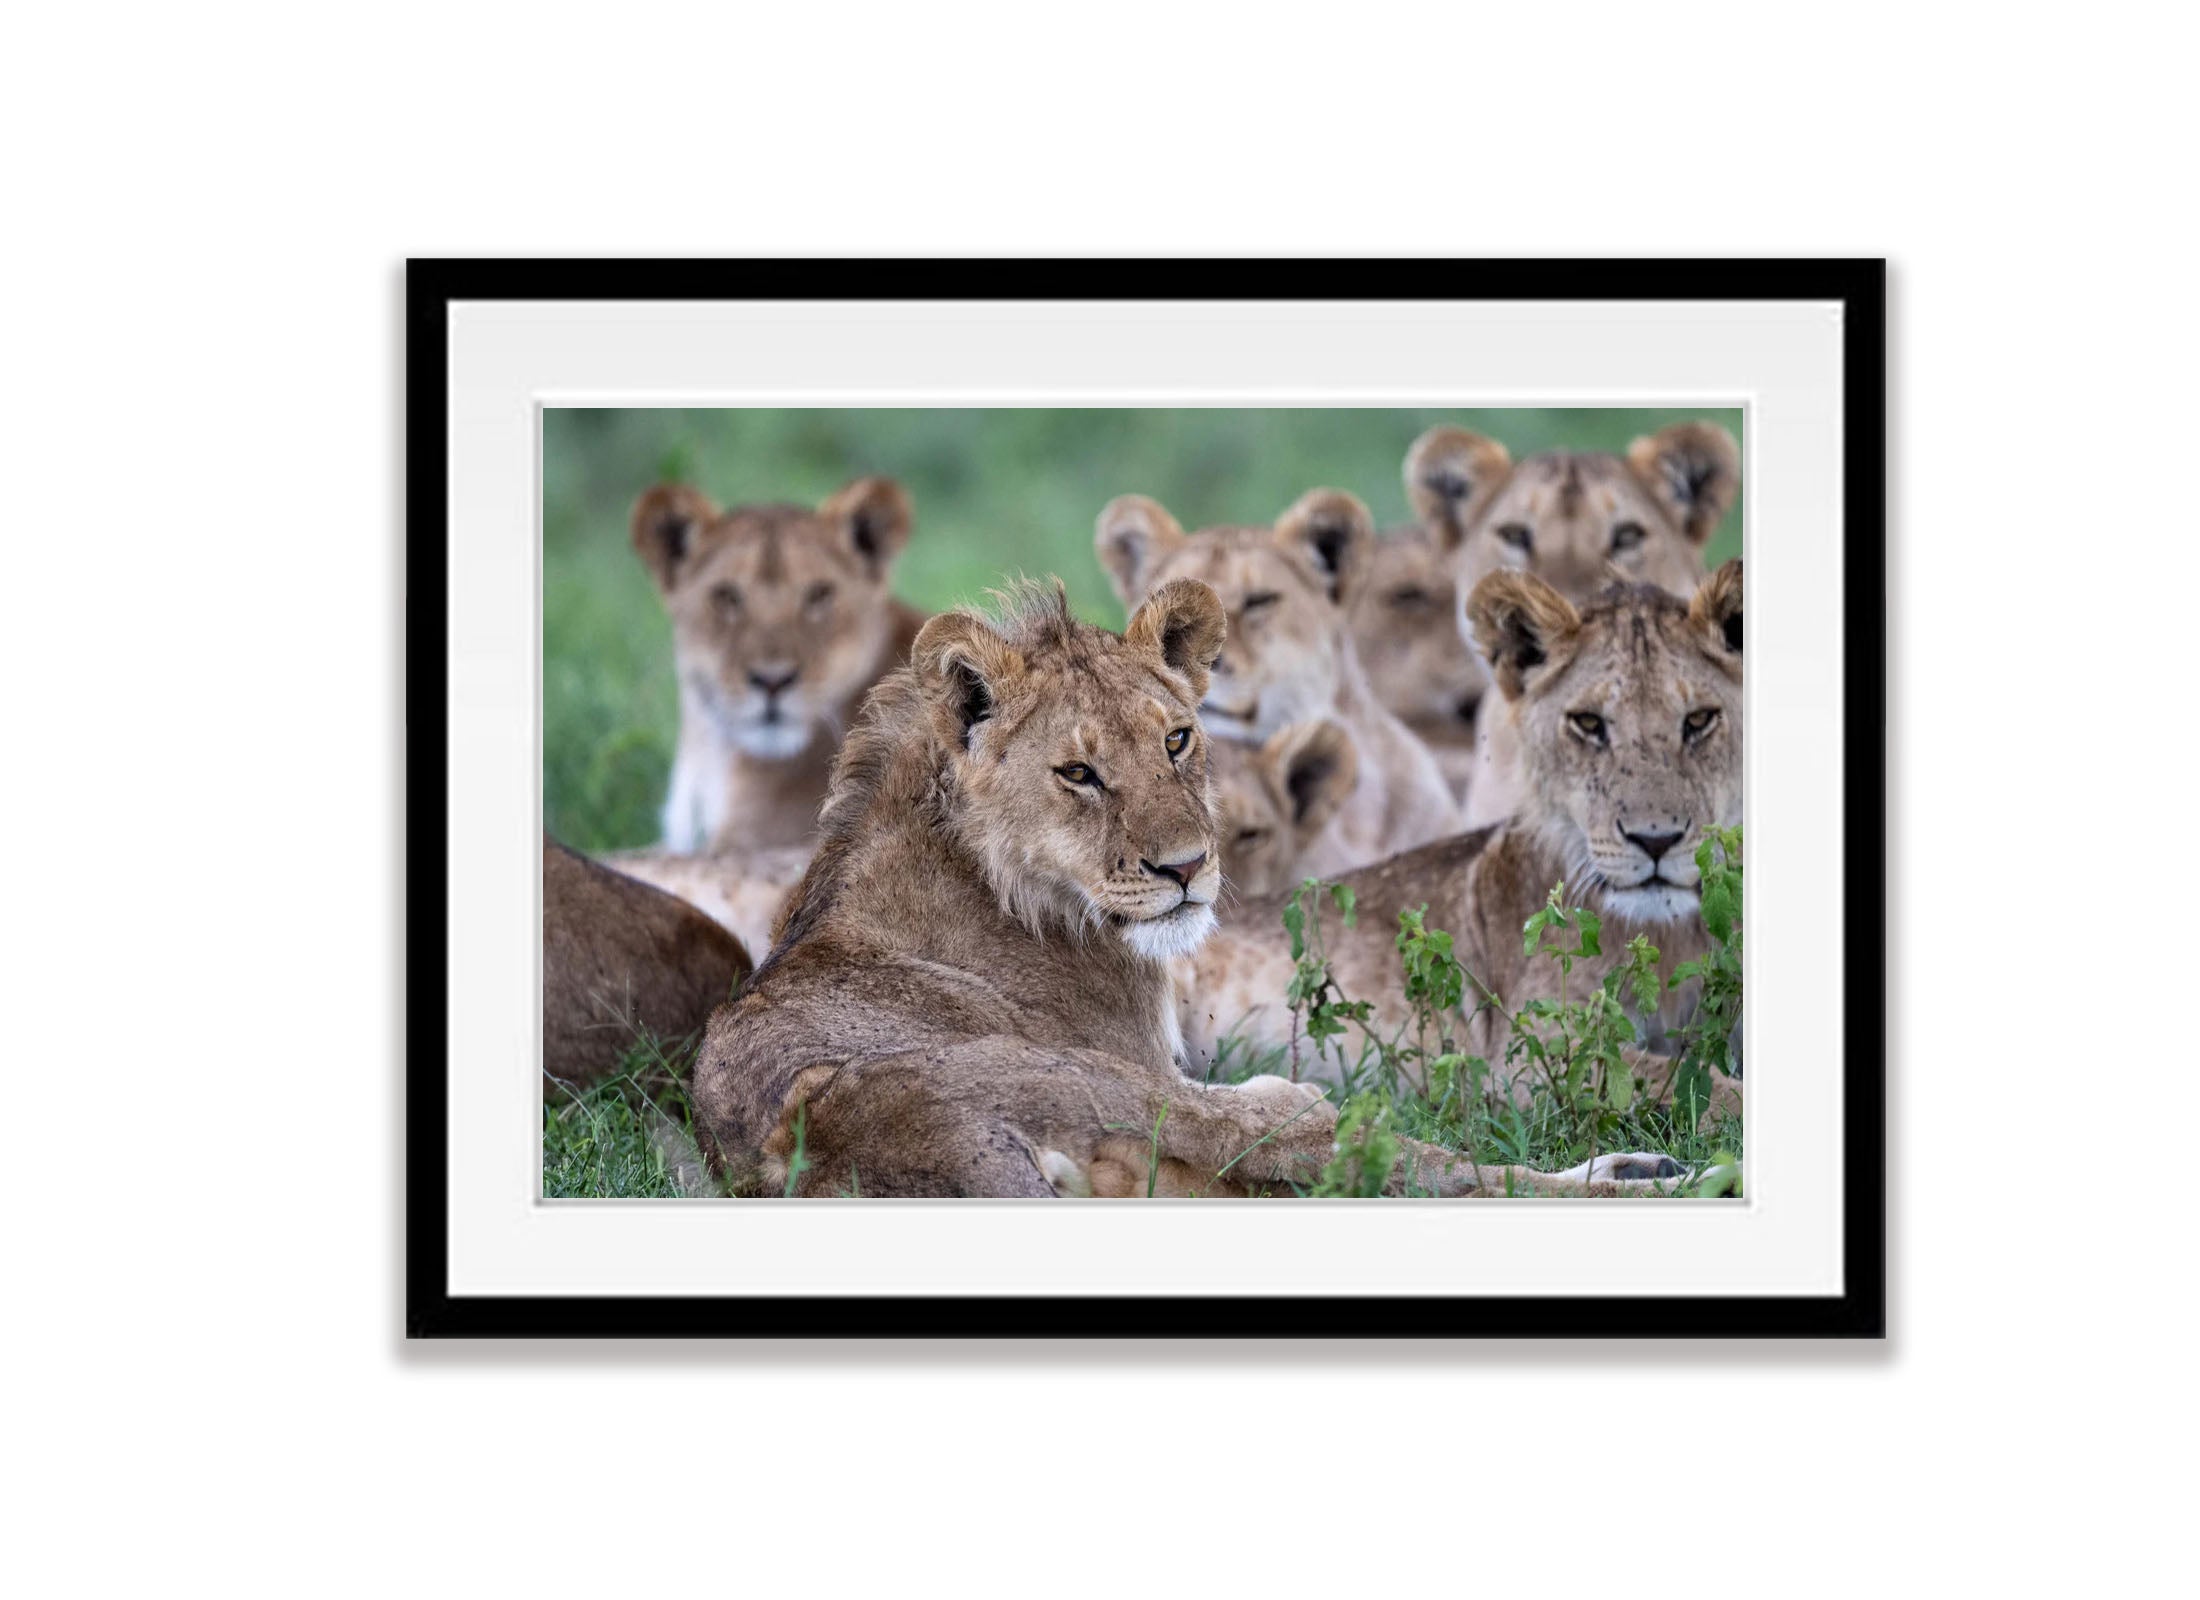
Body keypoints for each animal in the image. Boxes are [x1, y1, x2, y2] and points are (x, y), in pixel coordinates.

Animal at [695, 581, 1672, 1197]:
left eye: (1176, 740)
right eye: (1079, 773)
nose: (1187, 867)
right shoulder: (1155, 1071)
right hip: (1133, 1095)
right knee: (1397, 1159)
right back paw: (1647, 1176)